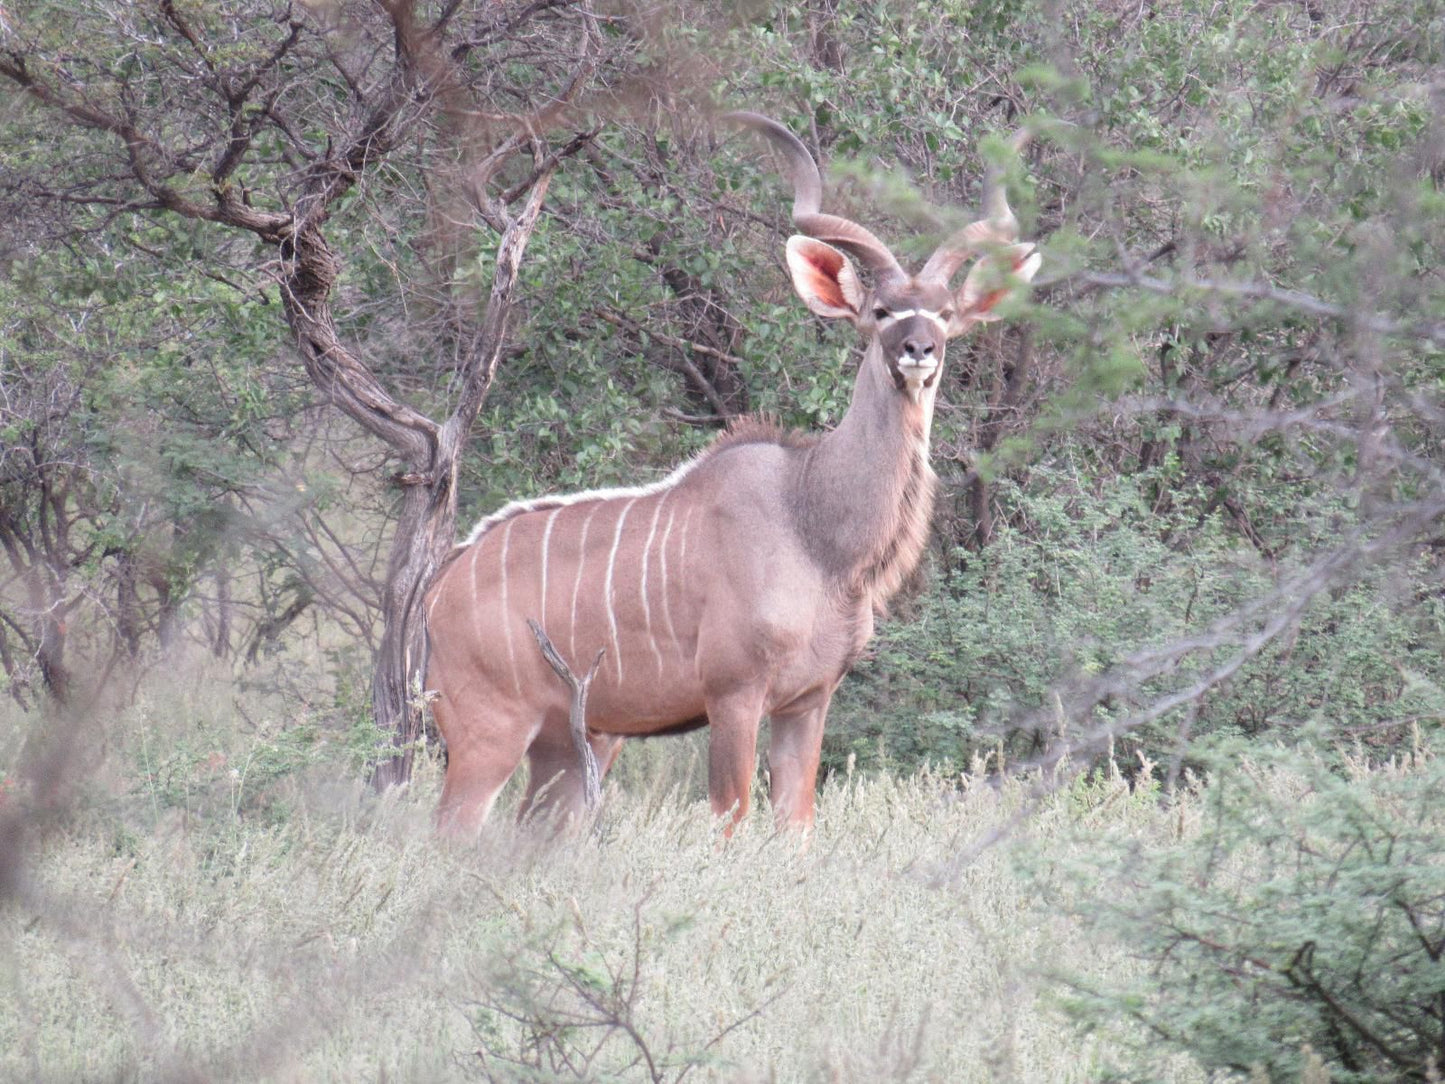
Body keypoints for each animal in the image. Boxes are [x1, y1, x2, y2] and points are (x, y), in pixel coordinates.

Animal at [421, 114, 1046, 838]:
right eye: (882, 312)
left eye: (946, 313)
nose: (920, 350)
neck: (814, 529)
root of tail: (439, 588)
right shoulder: (734, 696)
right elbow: (732, 818)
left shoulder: (808, 701)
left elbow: (795, 823)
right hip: (487, 734)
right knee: (449, 832)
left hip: (573, 743)